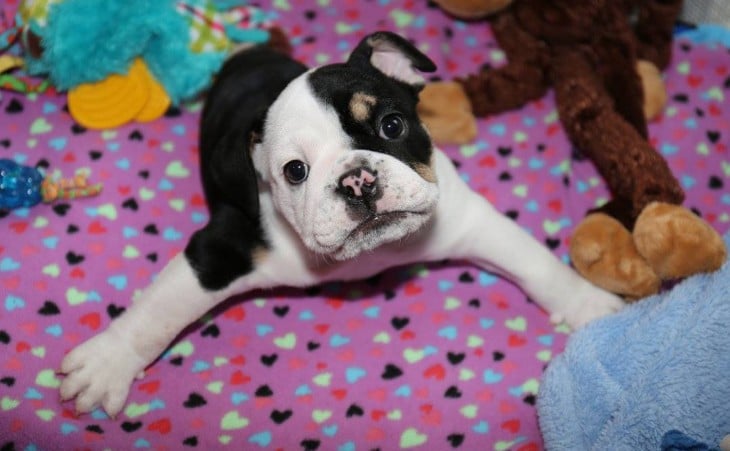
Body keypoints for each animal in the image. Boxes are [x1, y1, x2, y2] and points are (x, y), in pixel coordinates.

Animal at [59, 32, 624, 420]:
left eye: (392, 125)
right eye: (295, 171)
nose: (357, 181)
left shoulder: (469, 221)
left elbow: (535, 262)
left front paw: (589, 304)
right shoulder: (223, 247)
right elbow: (159, 311)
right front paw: (107, 362)